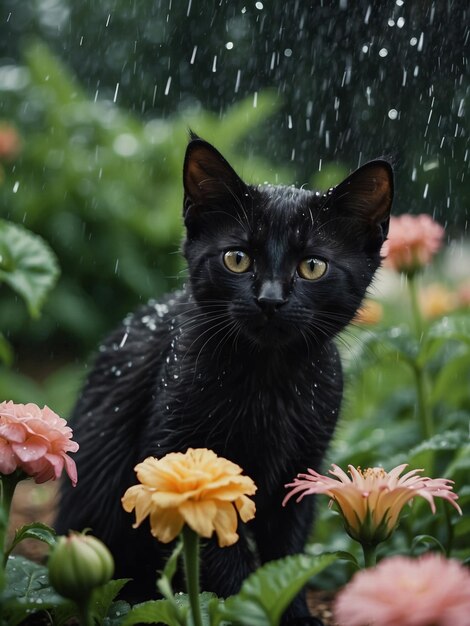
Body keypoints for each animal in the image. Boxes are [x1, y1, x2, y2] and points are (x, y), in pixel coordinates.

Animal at [56, 138, 392, 624]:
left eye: (312, 266)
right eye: (237, 258)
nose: (270, 299)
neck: (268, 379)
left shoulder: (301, 470)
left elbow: (286, 550)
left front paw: (292, 612)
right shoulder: (176, 451)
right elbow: (220, 553)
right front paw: (245, 607)